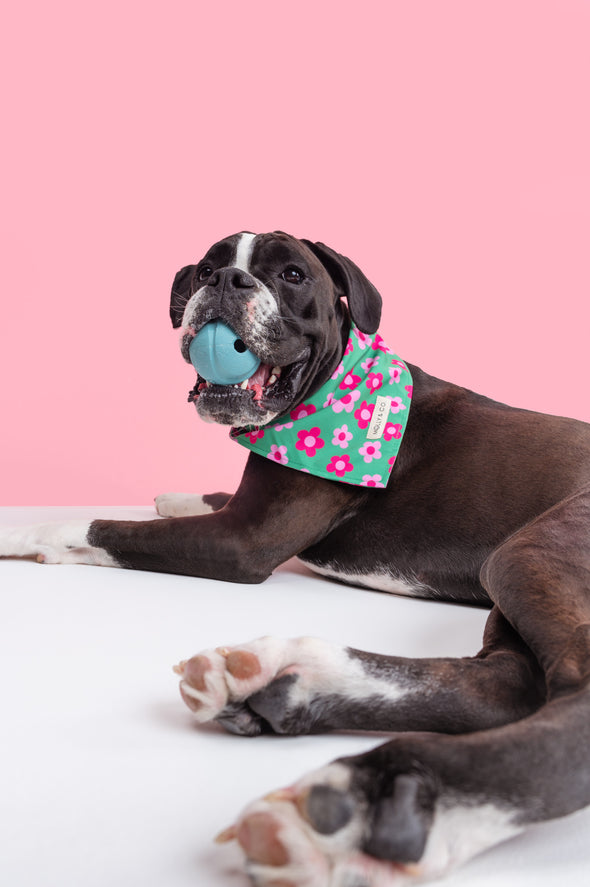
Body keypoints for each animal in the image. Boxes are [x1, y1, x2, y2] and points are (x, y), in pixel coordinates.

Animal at [3, 231, 590, 887]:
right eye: (206, 269)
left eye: (290, 274)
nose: (227, 282)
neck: (332, 387)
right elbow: (200, 500)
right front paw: (175, 495)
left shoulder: (242, 541)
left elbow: (102, 527)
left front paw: (23, 531)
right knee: (503, 683)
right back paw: (294, 681)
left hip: (527, 552)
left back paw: (382, 805)